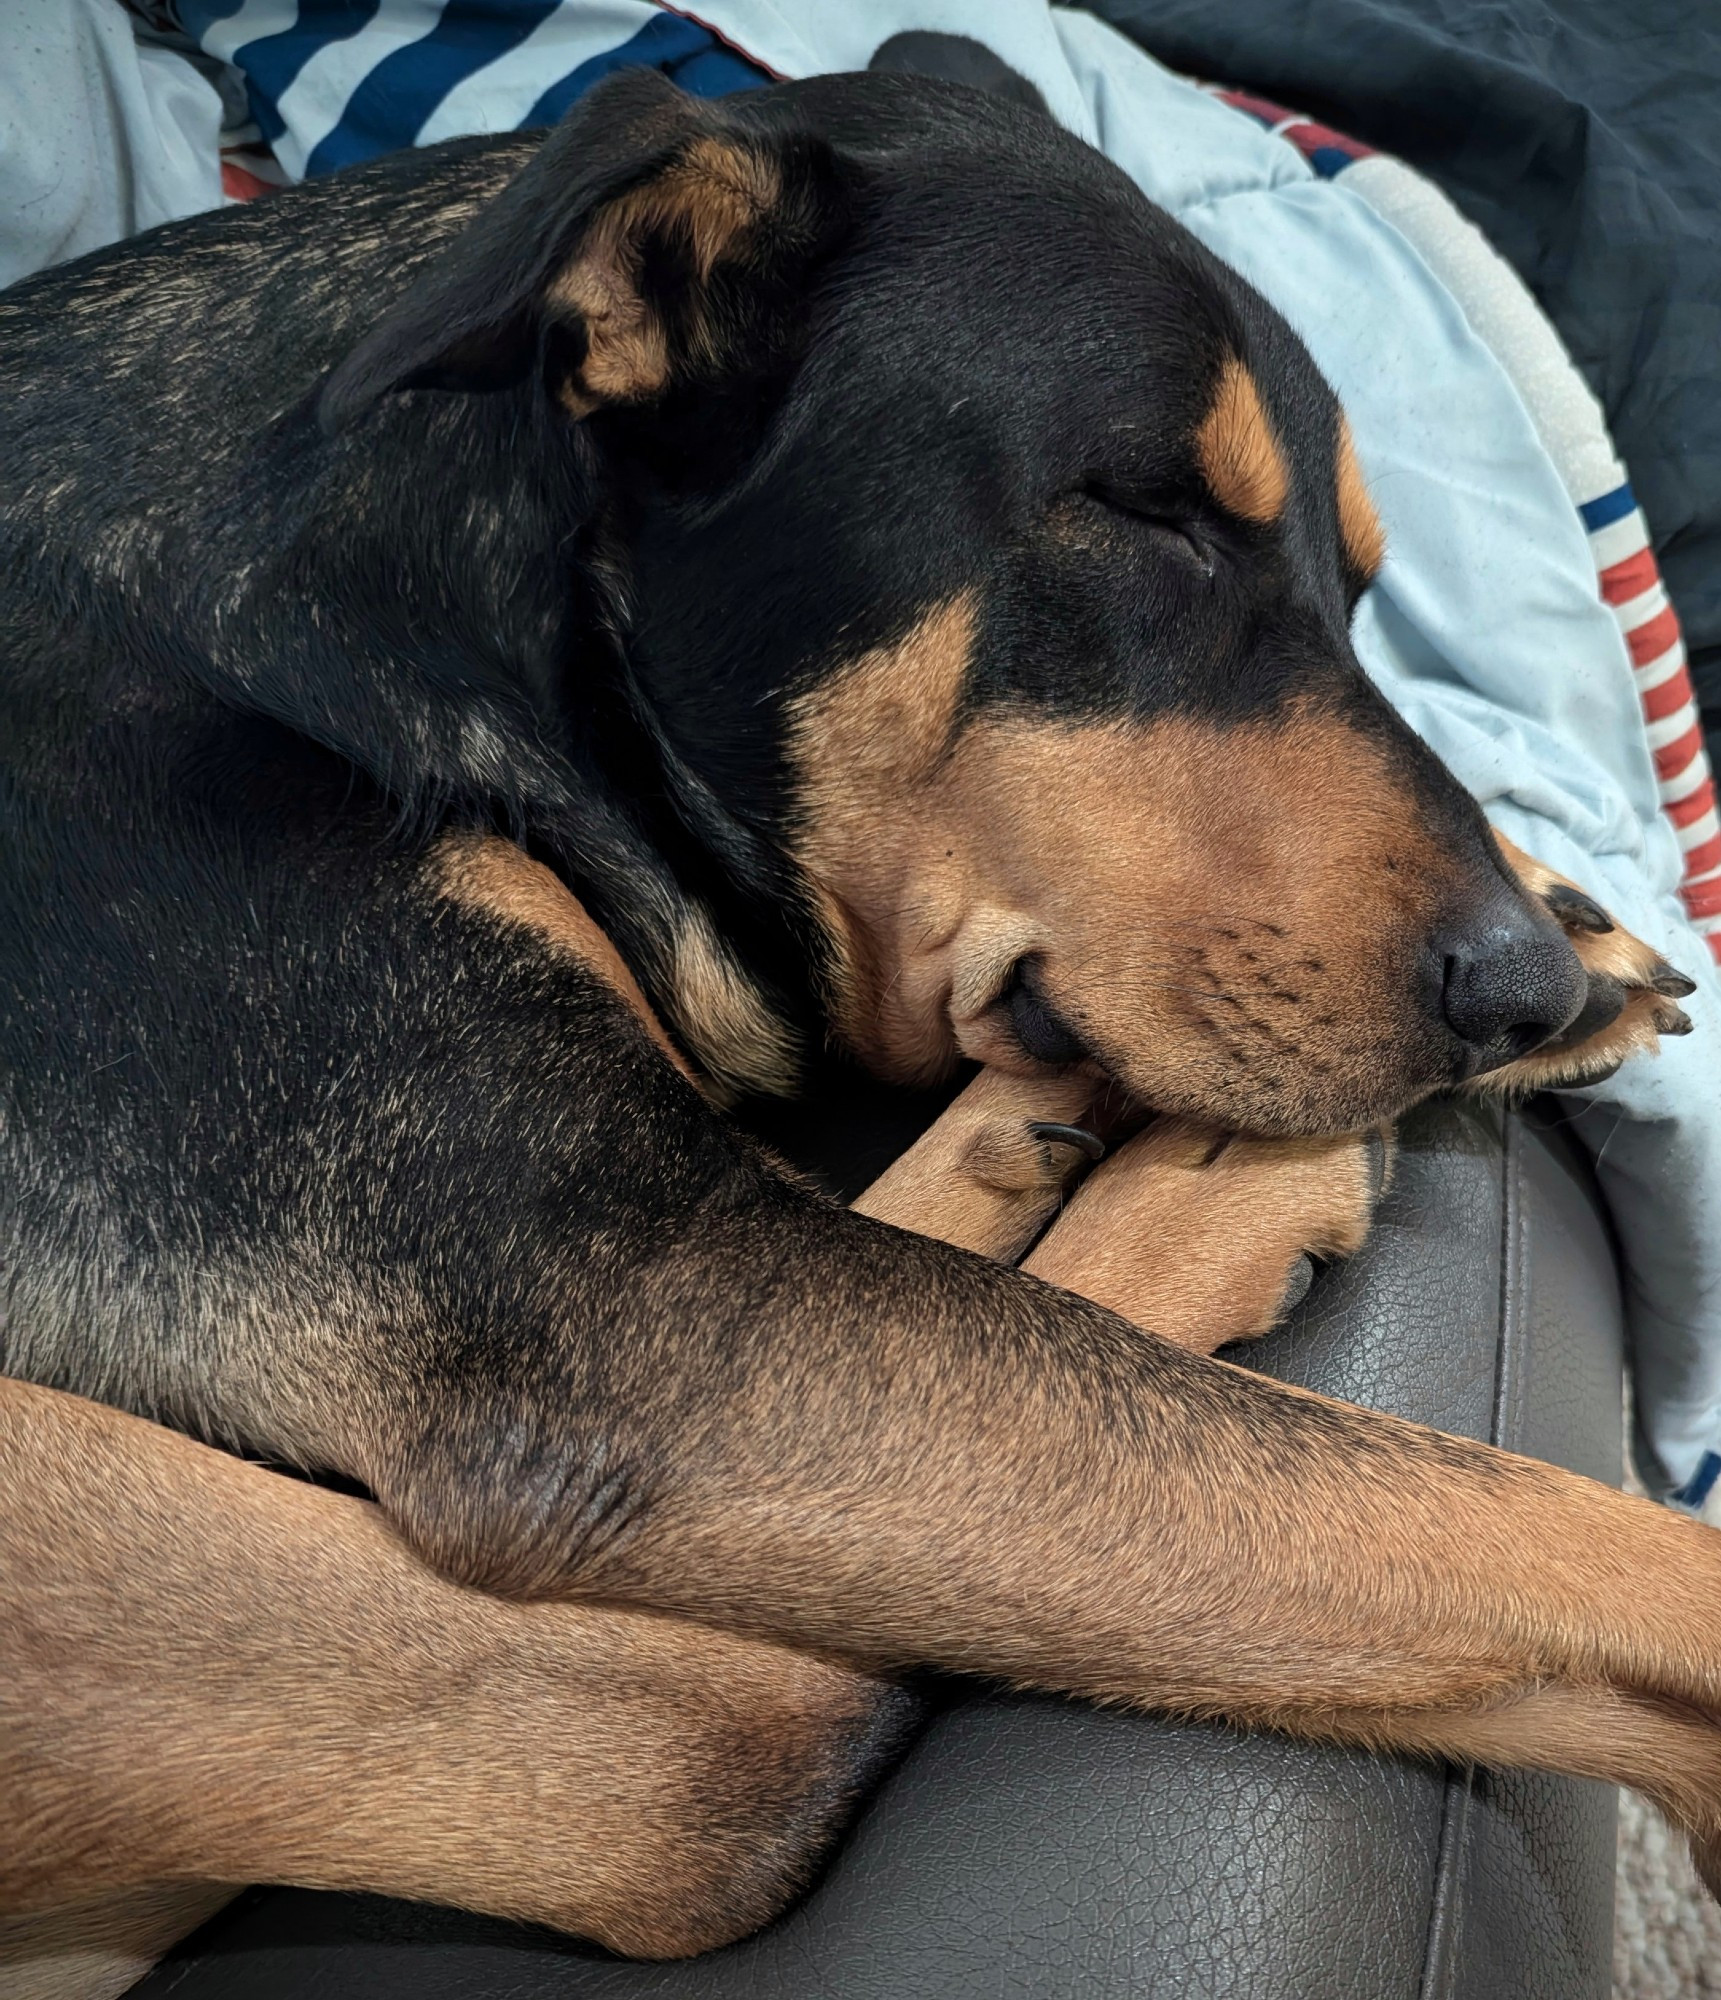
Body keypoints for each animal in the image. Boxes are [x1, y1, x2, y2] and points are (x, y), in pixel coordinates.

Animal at [6, 62, 1712, 1968]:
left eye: (1360, 588)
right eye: (1142, 511)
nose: (1519, 988)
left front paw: (1566, 914)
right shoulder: (620, 1310)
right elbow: (1493, 1525)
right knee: (732, 1749)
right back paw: (1195, 1174)